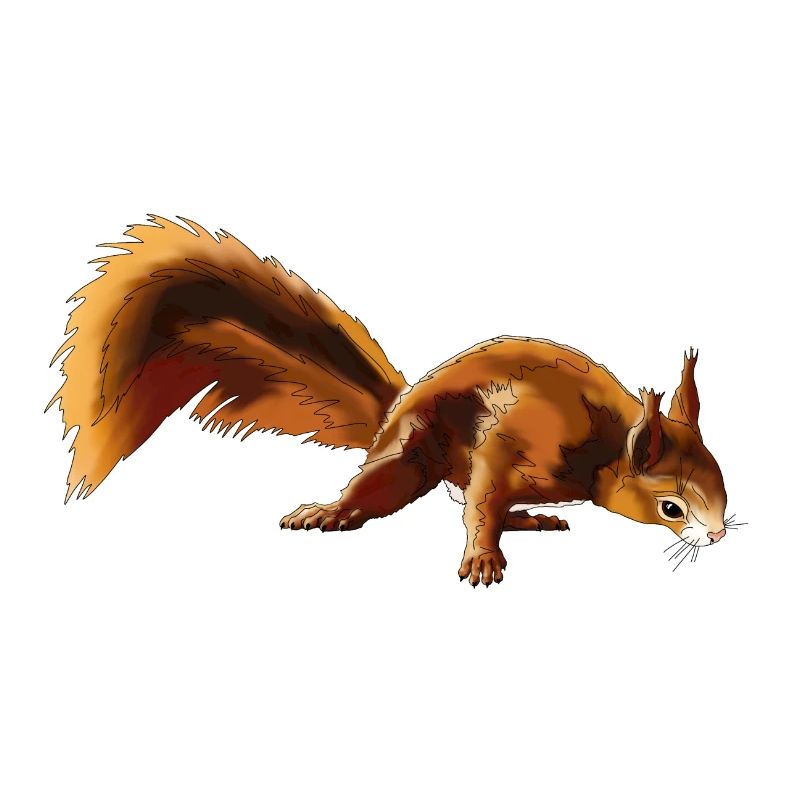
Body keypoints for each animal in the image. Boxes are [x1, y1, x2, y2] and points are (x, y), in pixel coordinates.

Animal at [50, 216, 730, 585]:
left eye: (723, 480)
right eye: (671, 507)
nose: (719, 535)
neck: (605, 443)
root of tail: (393, 412)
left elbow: (481, 501)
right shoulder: (514, 440)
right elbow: (484, 498)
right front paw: (482, 558)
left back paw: (531, 519)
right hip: (410, 453)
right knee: (392, 489)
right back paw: (331, 512)